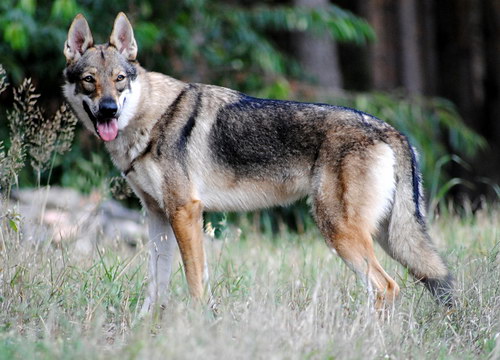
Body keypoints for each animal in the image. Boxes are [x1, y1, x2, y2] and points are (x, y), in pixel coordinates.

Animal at [62, 12, 454, 314]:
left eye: (119, 79)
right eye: (89, 81)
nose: (109, 110)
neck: (152, 118)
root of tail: (391, 130)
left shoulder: (185, 211)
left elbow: (194, 280)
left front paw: (199, 322)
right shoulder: (157, 215)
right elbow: (156, 283)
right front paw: (147, 326)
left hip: (340, 231)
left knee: (385, 286)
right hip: (387, 237)